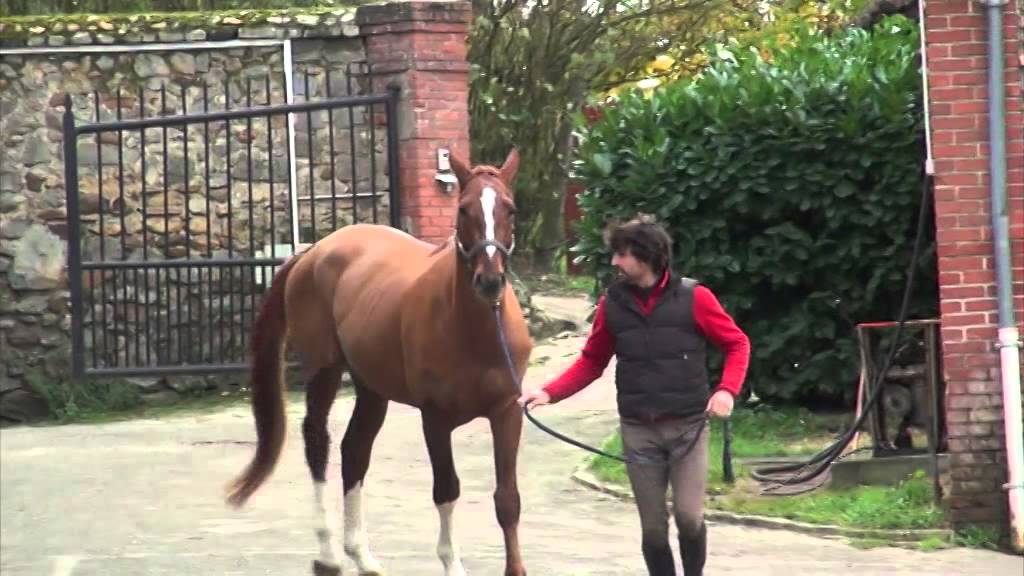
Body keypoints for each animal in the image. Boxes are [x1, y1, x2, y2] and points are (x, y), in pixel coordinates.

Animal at [224, 148, 533, 576]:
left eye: (511, 208)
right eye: (464, 209)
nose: (489, 281)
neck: (474, 333)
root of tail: (313, 252)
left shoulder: (507, 412)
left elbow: (507, 498)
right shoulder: (435, 419)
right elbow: (447, 489)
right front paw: (451, 561)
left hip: (372, 388)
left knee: (355, 450)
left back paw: (362, 555)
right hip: (324, 370)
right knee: (317, 441)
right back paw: (329, 553)